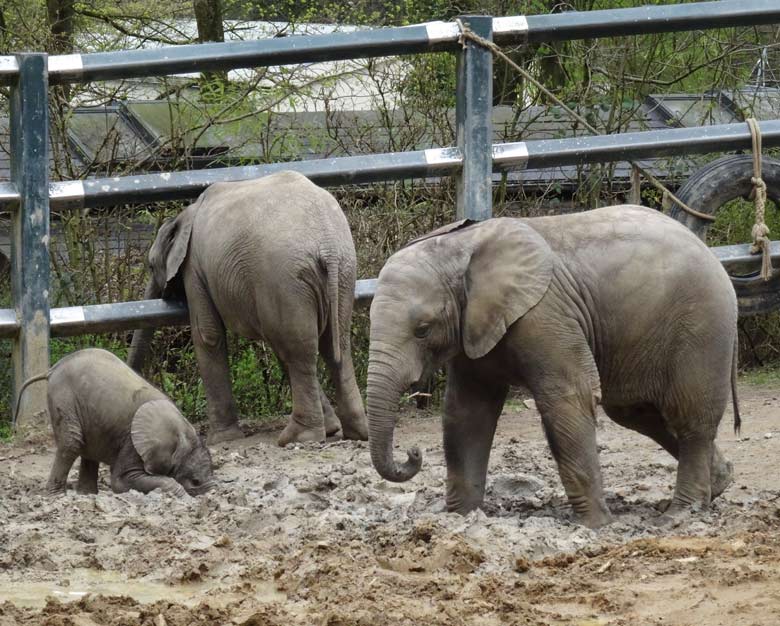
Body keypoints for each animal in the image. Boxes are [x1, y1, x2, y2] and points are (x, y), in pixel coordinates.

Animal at [14, 348, 216, 494]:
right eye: (195, 481)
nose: (211, 494)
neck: (181, 430)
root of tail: (53, 368)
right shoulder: (132, 444)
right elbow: (122, 481)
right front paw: (179, 492)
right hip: (63, 396)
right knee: (71, 443)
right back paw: (55, 496)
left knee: (87, 449)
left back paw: (87, 495)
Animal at [128, 169, 368, 444]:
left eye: (150, 266)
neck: (184, 215)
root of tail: (327, 244)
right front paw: (331, 428)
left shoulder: (195, 268)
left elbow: (208, 335)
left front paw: (221, 440)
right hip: (343, 271)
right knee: (333, 344)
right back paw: (355, 432)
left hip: (282, 277)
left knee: (298, 349)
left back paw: (297, 438)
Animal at [368, 206, 740, 528]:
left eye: (422, 329)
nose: (413, 452)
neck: (458, 248)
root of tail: (709, 250)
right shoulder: (473, 324)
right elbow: (467, 413)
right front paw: (461, 519)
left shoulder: (545, 314)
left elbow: (568, 399)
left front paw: (595, 526)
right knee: (639, 414)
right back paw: (719, 484)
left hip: (702, 324)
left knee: (689, 418)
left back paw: (680, 515)